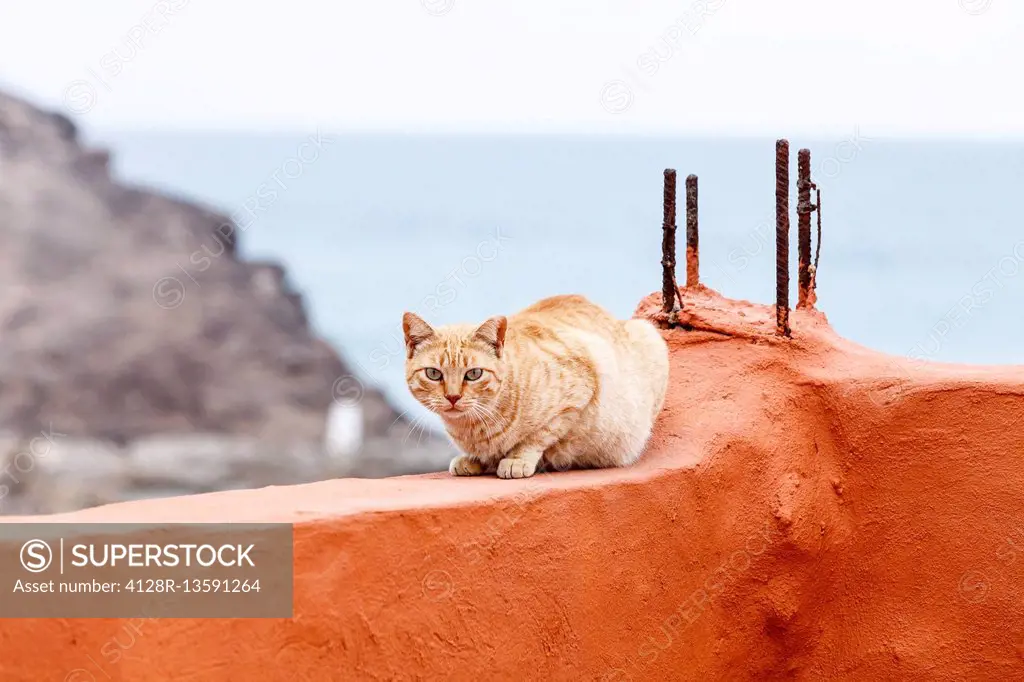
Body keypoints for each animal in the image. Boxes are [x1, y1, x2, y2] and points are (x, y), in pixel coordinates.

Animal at [403, 292, 667, 477]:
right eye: (434, 374)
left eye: (474, 374)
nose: (453, 397)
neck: (471, 427)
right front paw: (476, 460)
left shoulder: (578, 391)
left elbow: (538, 436)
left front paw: (516, 460)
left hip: (649, 337)